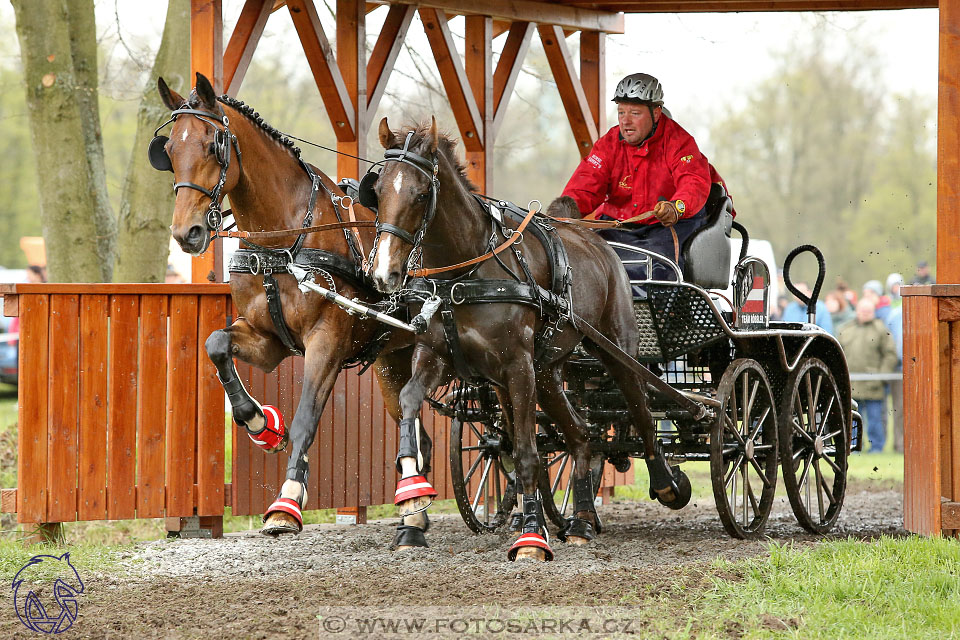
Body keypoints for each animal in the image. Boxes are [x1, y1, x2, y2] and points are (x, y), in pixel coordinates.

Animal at [155, 72, 432, 536]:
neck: (284, 242)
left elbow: (306, 416)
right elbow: (215, 344)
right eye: (171, 150)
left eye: (214, 144)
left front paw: (287, 501)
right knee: (417, 429)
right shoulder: (267, 340)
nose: (186, 233)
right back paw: (414, 505)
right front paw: (260, 423)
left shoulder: (327, 342)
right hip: (392, 361)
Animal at [368, 119, 688, 560]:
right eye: (379, 190)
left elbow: (525, 453)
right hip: (547, 374)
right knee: (581, 435)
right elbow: (409, 401)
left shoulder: (517, 367)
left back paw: (664, 482)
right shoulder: (437, 356)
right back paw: (581, 521)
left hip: (615, 351)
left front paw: (532, 537)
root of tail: (599, 243)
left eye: (419, 194)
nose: (384, 273)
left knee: (639, 408)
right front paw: (413, 498)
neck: (466, 273)